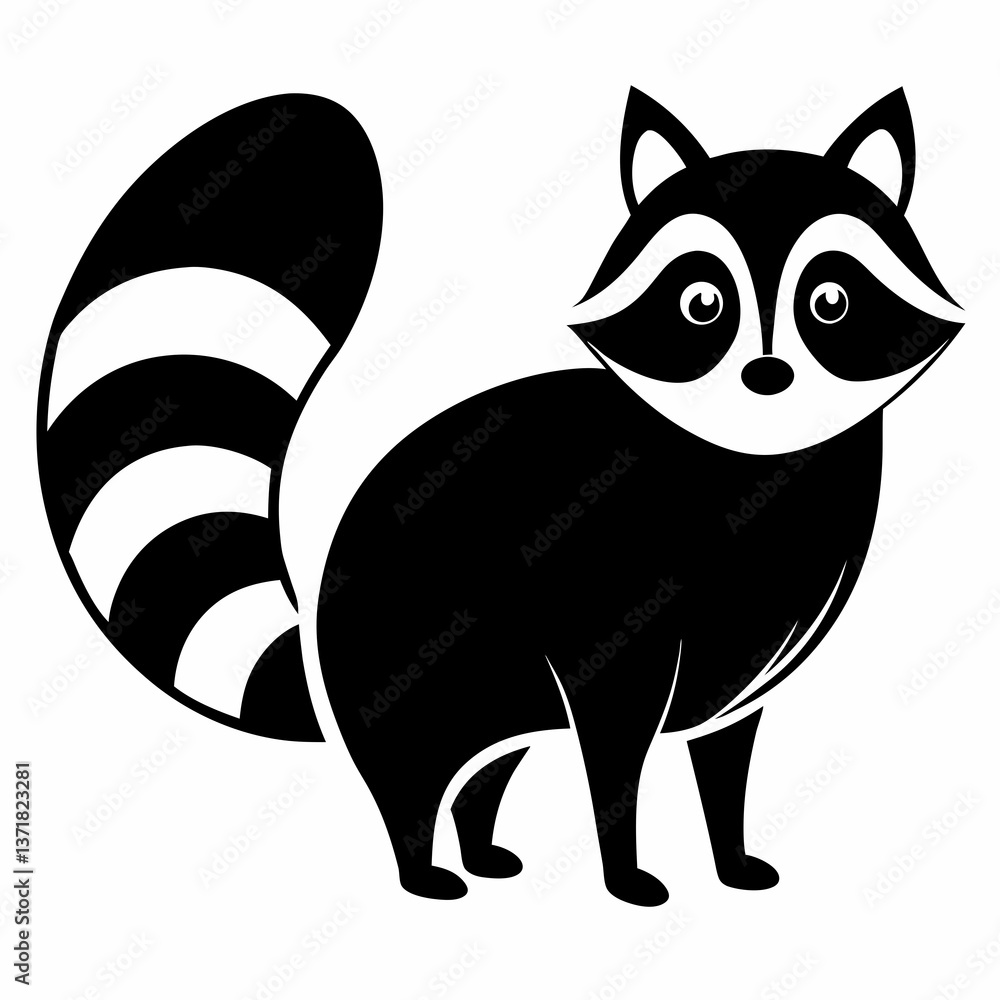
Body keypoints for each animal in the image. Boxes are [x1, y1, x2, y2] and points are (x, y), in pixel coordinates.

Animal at [37, 86, 964, 906]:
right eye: (703, 302)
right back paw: (424, 871)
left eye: (830, 300)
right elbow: (615, 760)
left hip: (504, 692)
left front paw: (730, 858)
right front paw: (626, 875)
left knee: (486, 775)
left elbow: (724, 771)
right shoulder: (613, 612)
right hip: (420, 664)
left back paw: (483, 851)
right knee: (408, 784)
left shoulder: (750, 672)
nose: (767, 376)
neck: (756, 469)